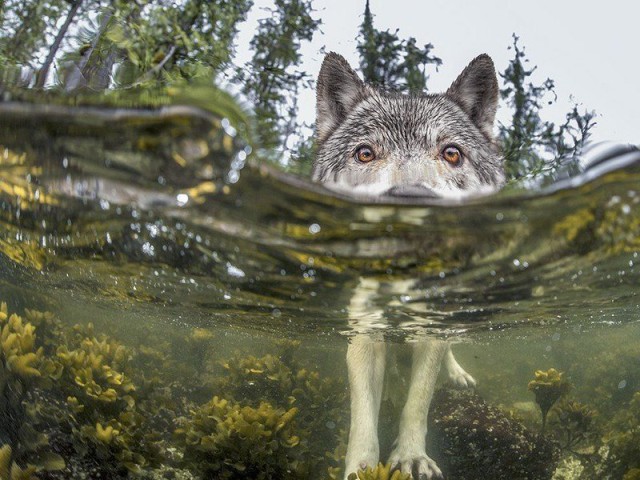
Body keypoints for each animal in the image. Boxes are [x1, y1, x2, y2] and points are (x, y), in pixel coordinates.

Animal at [314, 53, 504, 480]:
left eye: (451, 153)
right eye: (365, 154)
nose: (411, 199)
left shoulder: (429, 330)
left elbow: (418, 401)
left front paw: (411, 457)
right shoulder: (364, 332)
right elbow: (362, 414)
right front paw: (361, 467)